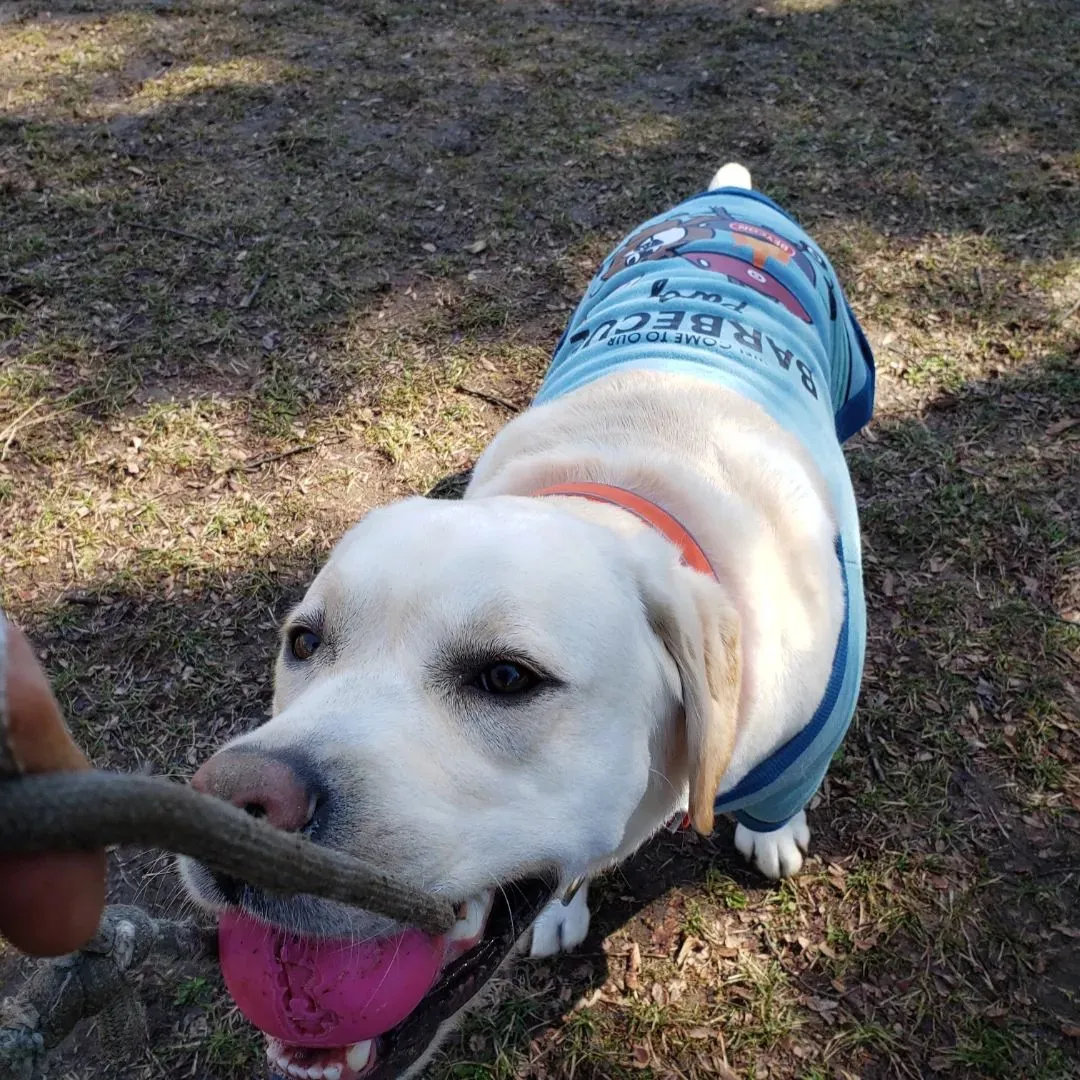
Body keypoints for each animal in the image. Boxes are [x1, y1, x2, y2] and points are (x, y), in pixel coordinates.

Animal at [181, 162, 872, 1080]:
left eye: (507, 677)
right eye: (304, 642)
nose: (233, 799)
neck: (628, 484)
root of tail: (732, 194)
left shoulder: (813, 721)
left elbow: (786, 791)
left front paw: (773, 834)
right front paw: (561, 910)